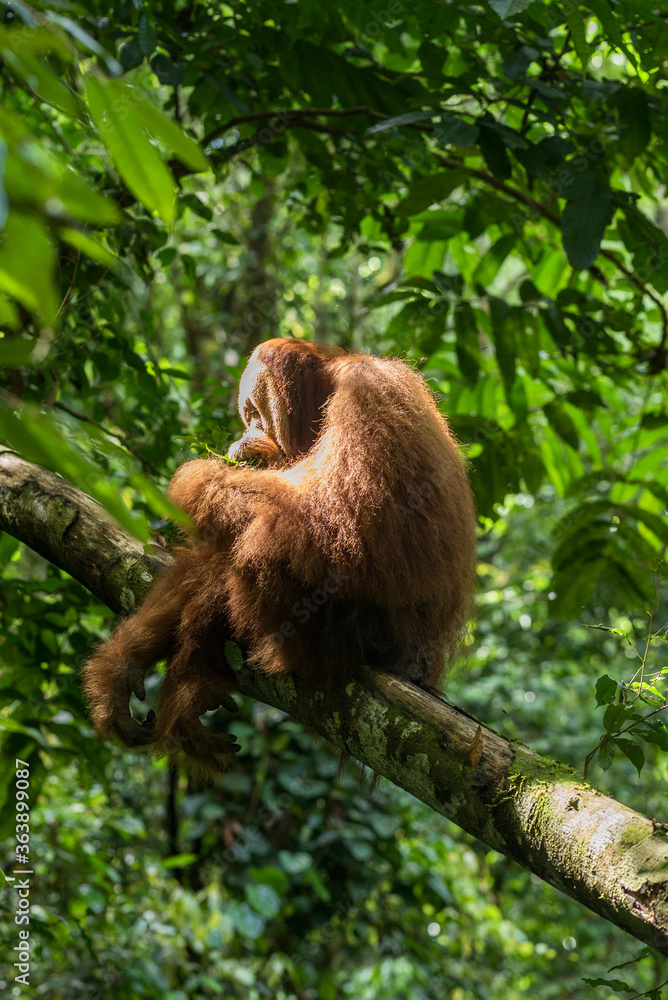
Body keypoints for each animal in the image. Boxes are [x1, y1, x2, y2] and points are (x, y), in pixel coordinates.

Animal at [81, 338, 477, 773]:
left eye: (255, 414)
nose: (245, 432)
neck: (330, 388)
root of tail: (420, 670)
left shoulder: (368, 393)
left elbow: (348, 524)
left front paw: (195, 477)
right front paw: (125, 667)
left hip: (360, 633)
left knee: (267, 544)